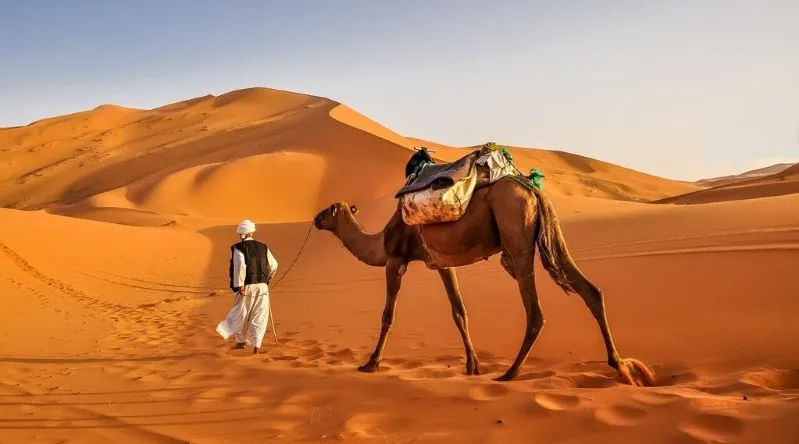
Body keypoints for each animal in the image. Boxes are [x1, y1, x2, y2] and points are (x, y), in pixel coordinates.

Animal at [312, 170, 656, 386]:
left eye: (329, 210)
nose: (315, 219)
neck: (380, 241)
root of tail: (532, 190)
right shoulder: (442, 264)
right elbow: (459, 312)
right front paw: (472, 366)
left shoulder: (396, 260)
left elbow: (388, 315)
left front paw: (370, 364)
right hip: (551, 233)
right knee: (591, 291)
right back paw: (622, 367)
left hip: (517, 237)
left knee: (535, 312)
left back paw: (509, 373)